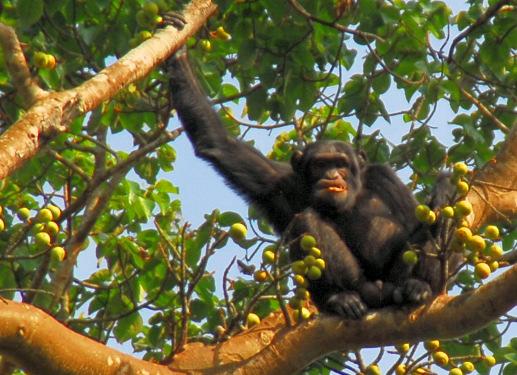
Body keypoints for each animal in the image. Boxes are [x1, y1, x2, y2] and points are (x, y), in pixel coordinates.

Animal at [163, 14, 450, 320]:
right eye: (321, 164)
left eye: (341, 164)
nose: (332, 175)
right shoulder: (278, 180)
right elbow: (219, 143)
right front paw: (178, 56)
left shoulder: (384, 177)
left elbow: (416, 219)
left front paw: (444, 189)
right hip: (361, 289)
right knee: (307, 221)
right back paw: (341, 298)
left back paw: (417, 286)